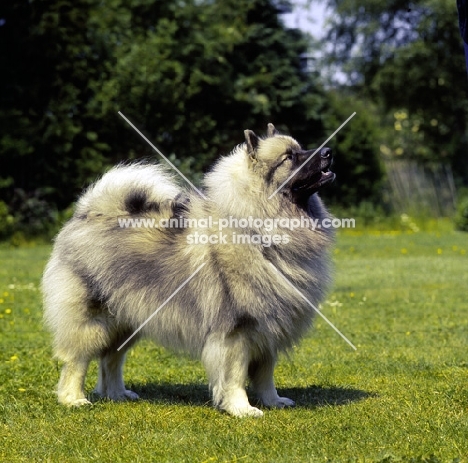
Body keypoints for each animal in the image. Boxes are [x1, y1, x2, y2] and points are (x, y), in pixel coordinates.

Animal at [43, 122, 336, 416]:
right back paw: (73, 399)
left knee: (111, 359)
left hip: (127, 320)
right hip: (92, 319)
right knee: (77, 360)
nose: (328, 152)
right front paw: (241, 409)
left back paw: (117, 394)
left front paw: (273, 401)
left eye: (301, 149)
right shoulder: (237, 329)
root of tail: (88, 213)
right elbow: (235, 375)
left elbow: (266, 374)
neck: (258, 230)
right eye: (290, 157)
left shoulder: (268, 329)